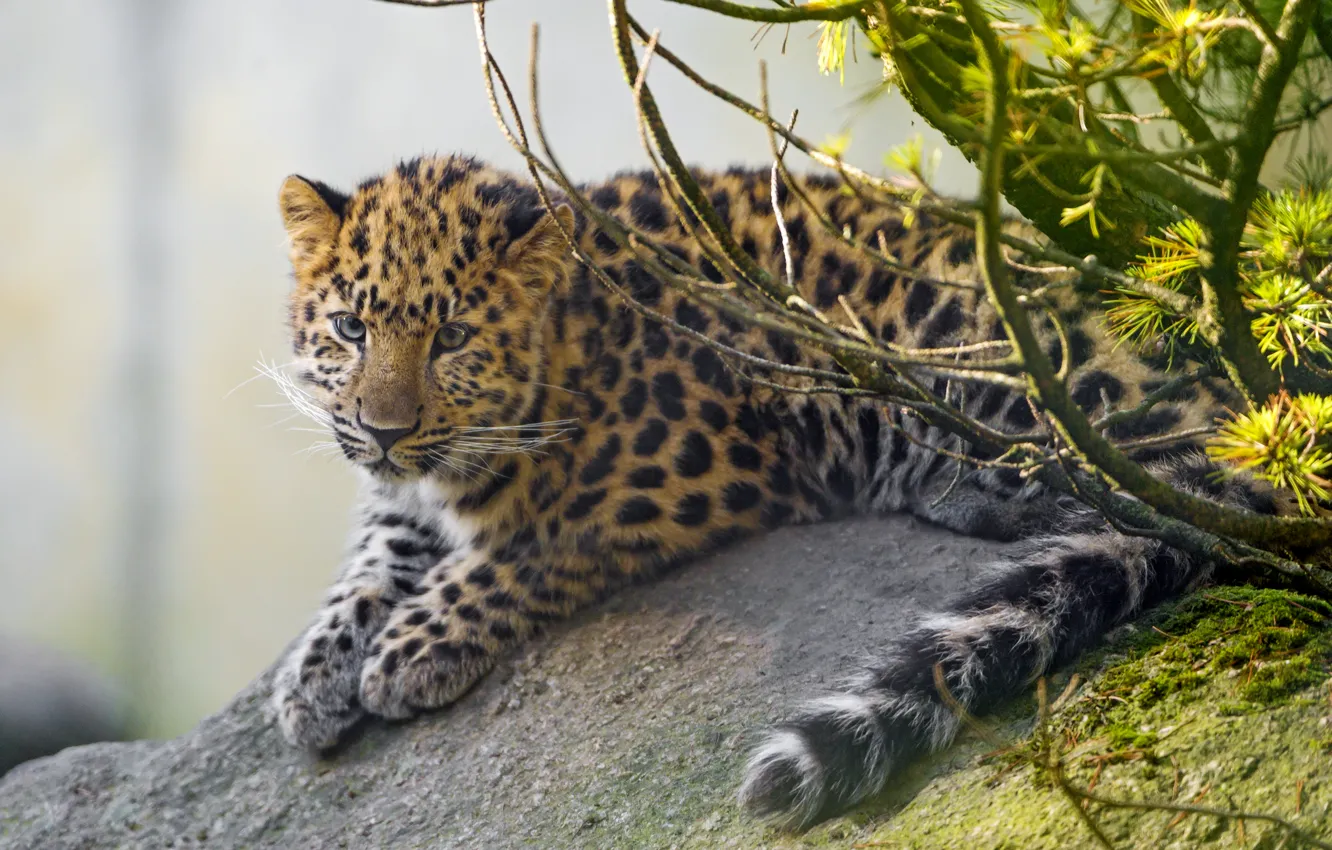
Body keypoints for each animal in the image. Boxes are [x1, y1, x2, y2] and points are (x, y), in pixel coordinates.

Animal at [269, 153, 1275, 829]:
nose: (385, 429)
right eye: (351, 328)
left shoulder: (679, 465)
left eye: (452, 337)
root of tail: (1251, 413)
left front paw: (409, 649)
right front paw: (311, 678)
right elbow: (365, 569)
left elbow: (531, 541)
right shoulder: (398, 495)